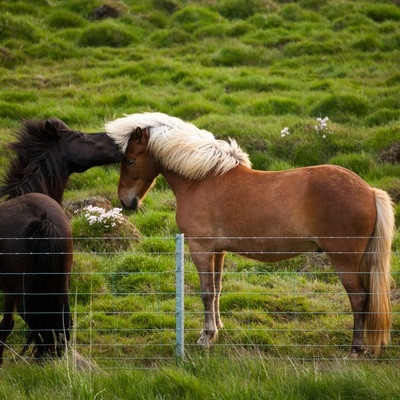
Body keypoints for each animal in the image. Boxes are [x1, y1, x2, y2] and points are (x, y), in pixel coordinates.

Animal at [0, 192, 72, 364]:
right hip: (60, 286)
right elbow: (6, 324)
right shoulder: (9, 292)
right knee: (63, 326)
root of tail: (42, 220)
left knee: (43, 331)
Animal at [104, 112, 396, 360]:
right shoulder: (218, 250)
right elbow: (217, 289)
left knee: (360, 298)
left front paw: (206, 338)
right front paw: (216, 329)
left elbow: (206, 292)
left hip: (344, 261)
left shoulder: (200, 248)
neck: (203, 178)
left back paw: (354, 350)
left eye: (130, 160)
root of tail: (369, 191)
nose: (126, 201)